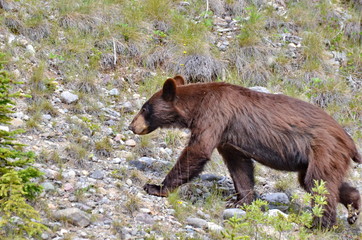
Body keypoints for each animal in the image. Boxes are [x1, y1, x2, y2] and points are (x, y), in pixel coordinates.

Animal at [129, 75, 360, 229]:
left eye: (144, 108)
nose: (131, 126)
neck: (197, 104)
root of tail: (350, 142)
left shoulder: (214, 115)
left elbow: (198, 150)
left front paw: (156, 187)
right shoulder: (228, 138)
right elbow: (240, 166)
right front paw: (241, 201)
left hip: (324, 149)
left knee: (320, 183)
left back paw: (320, 224)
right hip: (319, 158)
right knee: (316, 181)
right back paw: (353, 208)